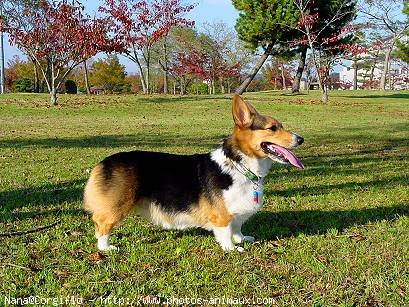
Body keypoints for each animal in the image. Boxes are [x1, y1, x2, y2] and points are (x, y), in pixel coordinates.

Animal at [83, 95, 302, 253]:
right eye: (272, 128)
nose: (301, 139)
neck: (239, 164)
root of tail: (102, 163)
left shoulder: (237, 212)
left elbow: (237, 227)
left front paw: (241, 239)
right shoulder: (222, 215)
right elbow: (226, 232)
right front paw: (232, 248)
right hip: (117, 207)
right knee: (101, 225)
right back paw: (106, 248)